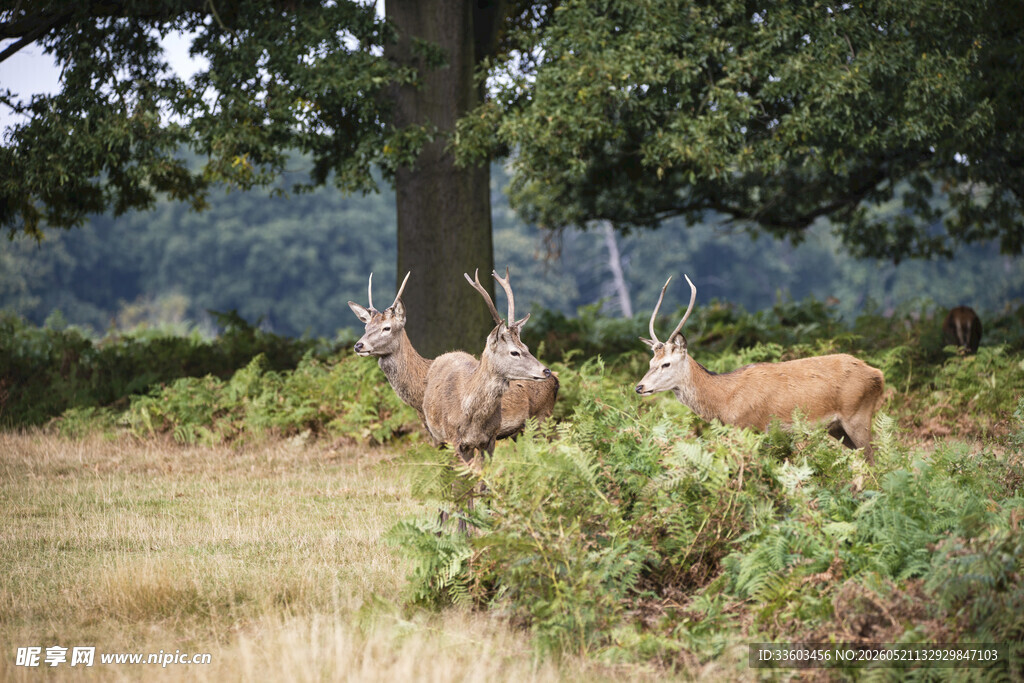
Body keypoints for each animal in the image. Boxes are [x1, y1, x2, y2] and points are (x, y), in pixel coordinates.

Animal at [347, 272, 558, 442]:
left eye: (387, 328)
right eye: (366, 327)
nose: (359, 345)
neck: (419, 395)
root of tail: (555, 380)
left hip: (542, 418)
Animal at [635, 275, 886, 460]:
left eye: (666, 363)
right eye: (650, 362)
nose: (639, 387)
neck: (724, 401)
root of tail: (878, 374)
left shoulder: (752, 428)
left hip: (857, 416)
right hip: (838, 428)